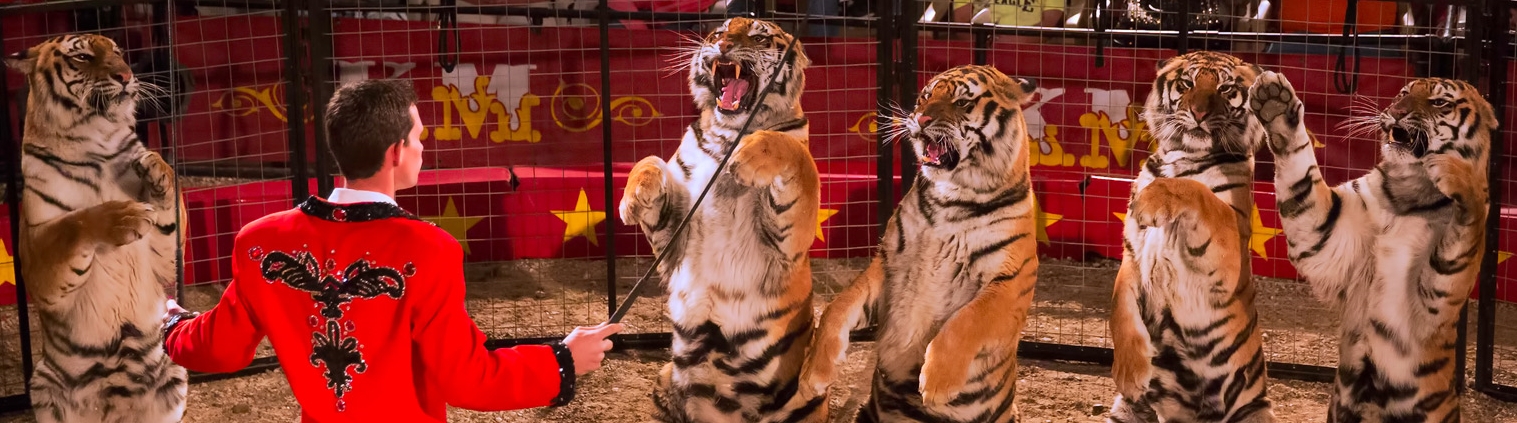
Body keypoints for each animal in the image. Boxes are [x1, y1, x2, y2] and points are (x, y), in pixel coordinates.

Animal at [5, 34, 188, 423]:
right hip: (42, 382)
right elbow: (75, 223)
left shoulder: (164, 259)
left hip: (174, 368)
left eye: (118, 52)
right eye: (83, 56)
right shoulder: (35, 253)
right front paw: (125, 217)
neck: (97, 140)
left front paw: (155, 165)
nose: (126, 75)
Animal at [617, 17, 825, 423]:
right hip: (666, 377)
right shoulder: (673, 239)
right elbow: (649, 160)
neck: (730, 132)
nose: (724, 44)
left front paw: (751, 157)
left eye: (759, 37)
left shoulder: (789, 237)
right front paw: (635, 197)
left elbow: (793, 152)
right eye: (718, 32)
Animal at [795, 65, 1041, 423]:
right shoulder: (889, 263)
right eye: (926, 96)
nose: (920, 119)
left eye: (962, 101)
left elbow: (965, 321)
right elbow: (837, 307)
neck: (951, 198)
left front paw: (938, 383)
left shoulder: (1010, 281)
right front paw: (813, 373)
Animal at [1107, 50, 1276, 423]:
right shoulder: (1132, 251)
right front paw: (1129, 372)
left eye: (1225, 88)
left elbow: (1197, 191)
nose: (1199, 113)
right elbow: (1119, 307)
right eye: (1186, 83)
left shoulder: (1230, 243)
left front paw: (1154, 198)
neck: (1184, 156)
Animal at [1253, 72, 1493, 422]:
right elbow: (1301, 179)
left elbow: (1466, 224)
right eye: (1403, 93)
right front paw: (1275, 103)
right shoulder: (1327, 235)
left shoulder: (1437, 295)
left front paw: (1455, 172)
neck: (1408, 190)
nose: (1397, 112)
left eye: (1439, 102)